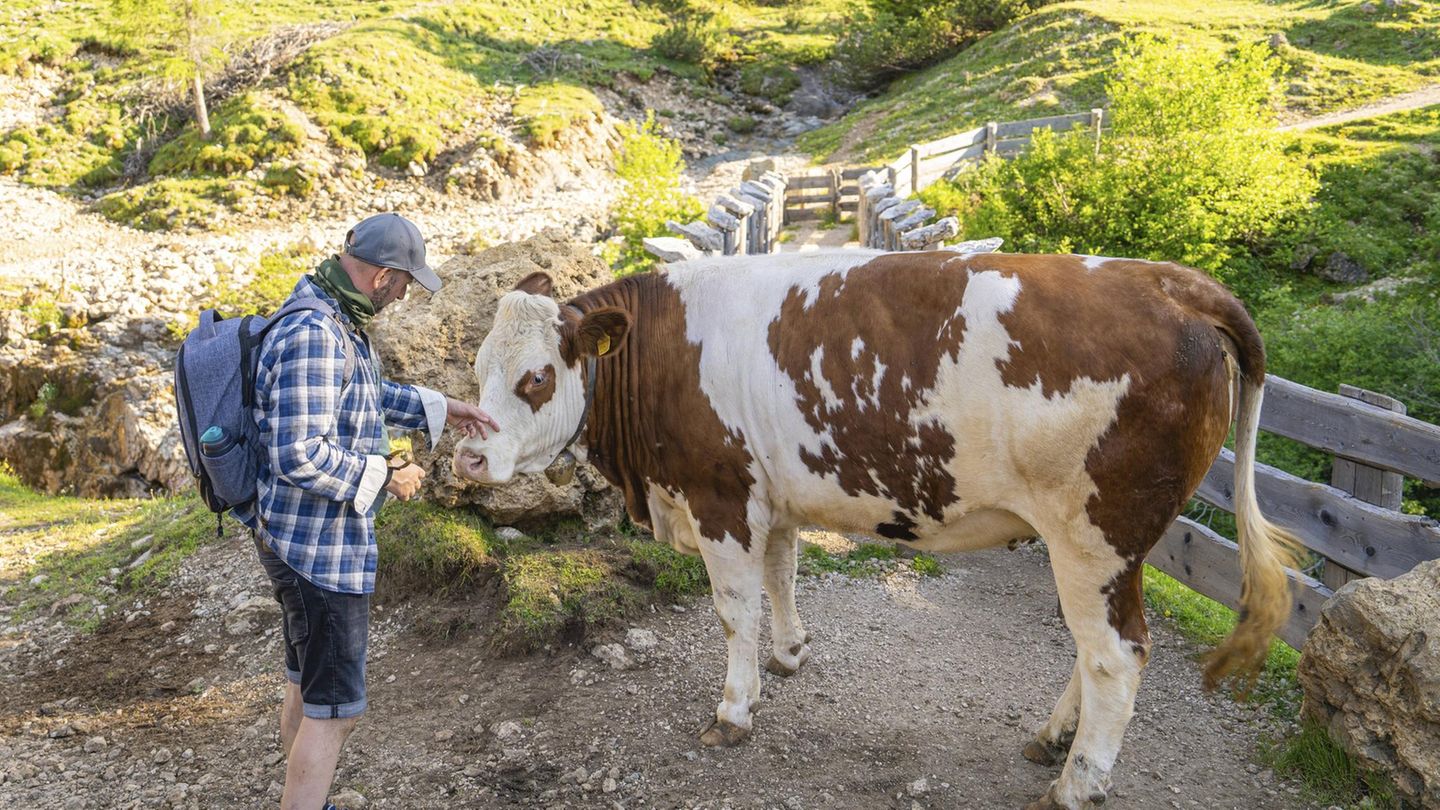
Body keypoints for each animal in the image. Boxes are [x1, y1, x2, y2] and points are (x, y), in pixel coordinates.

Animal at [451, 250, 1298, 810]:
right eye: (475, 369)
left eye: (536, 378)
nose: (466, 455)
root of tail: (1172, 281)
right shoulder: (771, 493)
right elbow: (783, 573)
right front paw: (789, 654)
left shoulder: (720, 496)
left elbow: (734, 610)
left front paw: (734, 710)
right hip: (1109, 547)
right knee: (1100, 649)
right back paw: (1055, 737)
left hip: (1096, 531)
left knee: (1116, 655)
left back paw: (1075, 783)